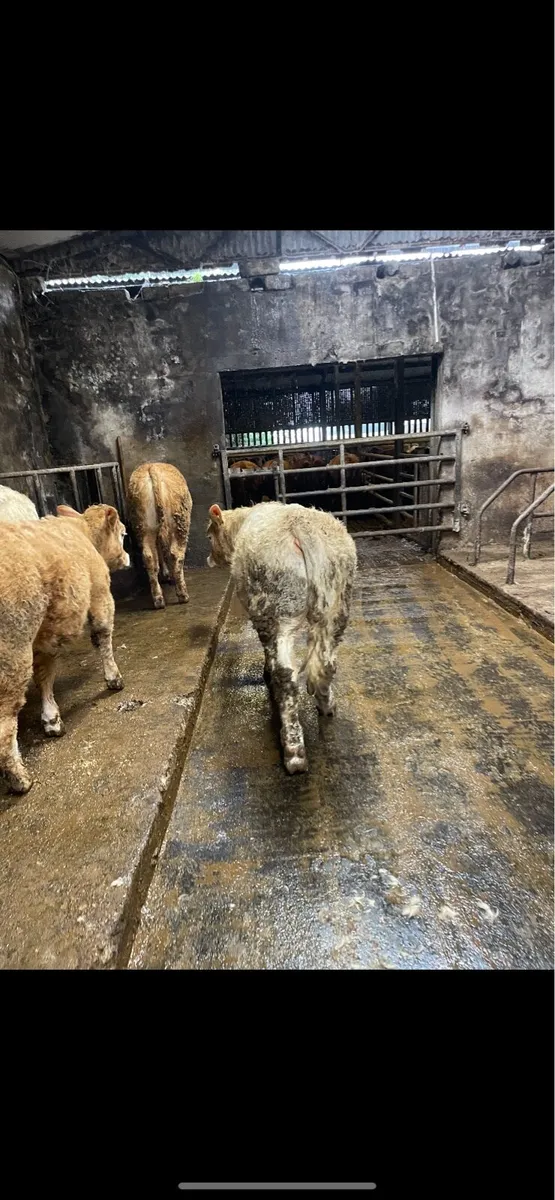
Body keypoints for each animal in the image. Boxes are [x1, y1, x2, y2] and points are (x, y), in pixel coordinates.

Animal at [0, 503, 129, 795]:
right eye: (123, 534)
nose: (128, 558)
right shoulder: (100, 595)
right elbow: (103, 637)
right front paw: (114, 678)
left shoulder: (45, 632)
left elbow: (44, 674)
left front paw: (51, 719)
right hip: (12, 652)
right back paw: (20, 780)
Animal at [127, 463, 193, 610]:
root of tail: (152, 468)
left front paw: (166, 574)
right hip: (180, 522)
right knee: (175, 554)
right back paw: (183, 595)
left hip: (144, 526)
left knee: (149, 556)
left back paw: (158, 599)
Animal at [206, 501, 357, 775]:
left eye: (209, 536)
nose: (209, 559)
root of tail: (301, 528)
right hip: (338, 604)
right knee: (326, 664)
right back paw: (326, 703)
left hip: (278, 607)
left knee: (285, 673)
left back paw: (293, 750)